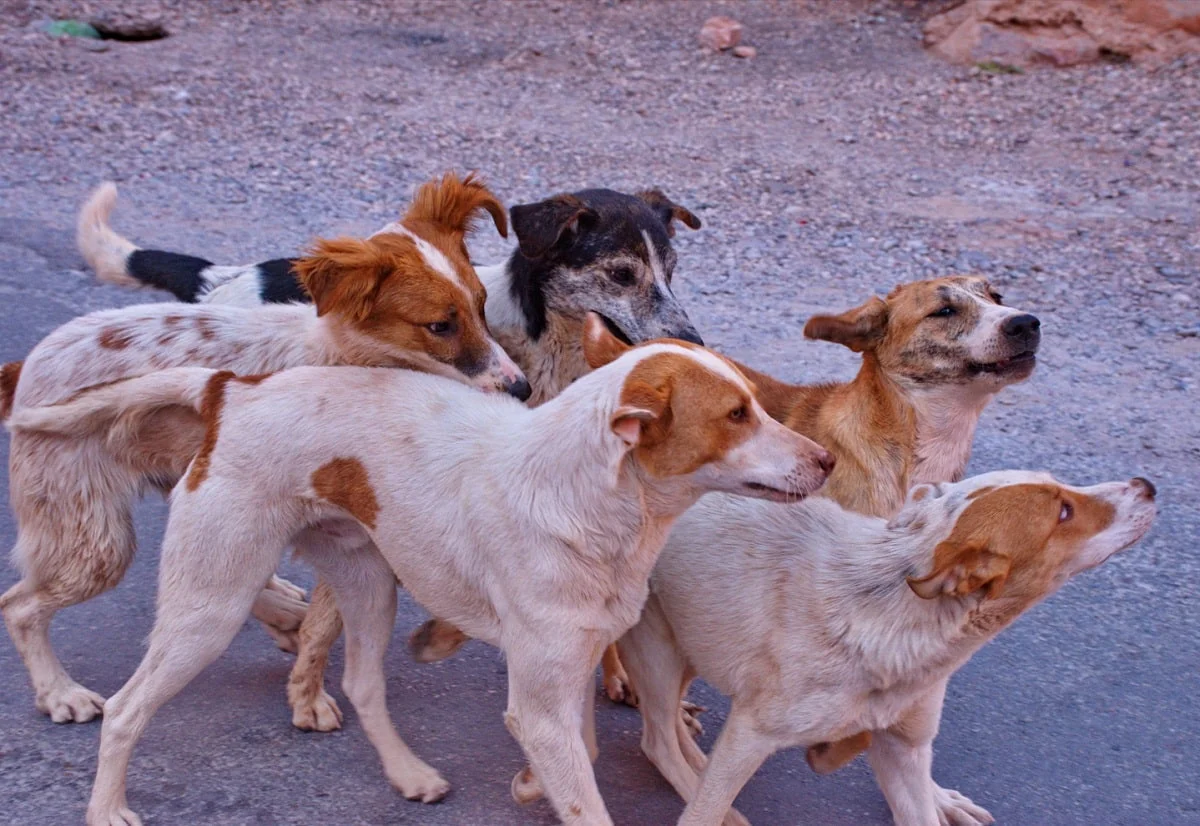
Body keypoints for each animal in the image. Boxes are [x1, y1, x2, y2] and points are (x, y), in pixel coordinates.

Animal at [0, 172, 525, 720]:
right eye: (440, 326)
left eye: (482, 305)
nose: (521, 388)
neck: (345, 357)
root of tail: (26, 364)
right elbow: (331, 617)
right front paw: (310, 697)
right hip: (95, 538)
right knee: (18, 605)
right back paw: (58, 691)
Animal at [11, 312, 835, 821]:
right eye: (735, 416)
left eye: (757, 402)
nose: (827, 461)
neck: (590, 503)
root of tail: (231, 391)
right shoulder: (539, 701)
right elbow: (585, 795)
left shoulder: (569, 674)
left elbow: (587, 750)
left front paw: (530, 785)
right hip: (208, 606)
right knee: (121, 704)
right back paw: (103, 799)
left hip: (369, 582)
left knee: (362, 684)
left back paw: (407, 772)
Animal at [619, 470, 1152, 826]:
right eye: (1063, 512)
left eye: (1064, 489)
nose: (1146, 485)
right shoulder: (749, 735)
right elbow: (703, 806)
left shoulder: (903, 747)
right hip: (660, 645)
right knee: (657, 740)